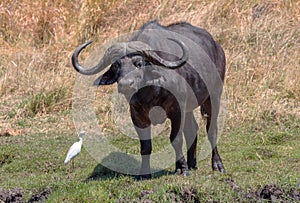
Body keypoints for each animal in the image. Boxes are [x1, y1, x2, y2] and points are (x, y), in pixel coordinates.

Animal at [72, 20, 225, 179]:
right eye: (116, 65)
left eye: (139, 63)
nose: (125, 84)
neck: (151, 91)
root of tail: (217, 47)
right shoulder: (137, 116)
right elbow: (145, 146)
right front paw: (144, 173)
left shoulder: (177, 109)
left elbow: (176, 139)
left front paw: (181, 168)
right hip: (189, 108)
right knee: (192, 130)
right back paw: (192, 163)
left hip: (214, 96)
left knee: (212, 130)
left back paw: (217, 165)